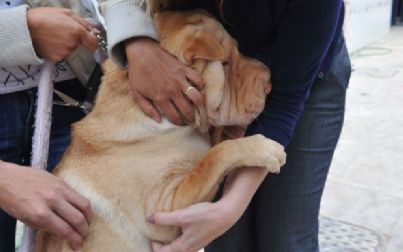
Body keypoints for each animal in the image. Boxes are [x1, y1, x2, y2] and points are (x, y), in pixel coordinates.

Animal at [35, 9, 288, 250]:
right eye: (226, 63)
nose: (269, 81)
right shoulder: (165, 208)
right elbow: (214, 157)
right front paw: (263, 148)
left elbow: (214, 150)